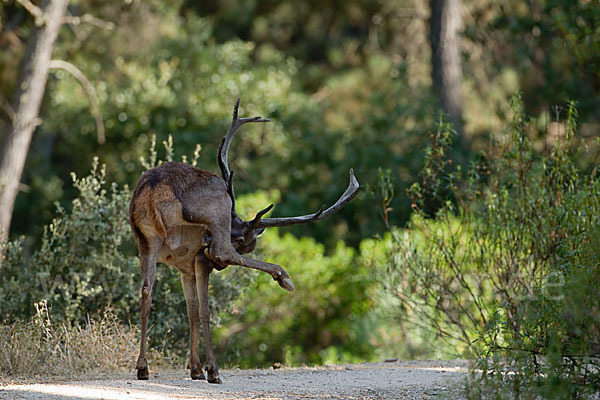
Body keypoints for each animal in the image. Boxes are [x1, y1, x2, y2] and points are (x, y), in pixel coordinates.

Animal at [128, 98, 358, 382]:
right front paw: (208, 369)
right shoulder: (201, 258)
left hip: (145, 240)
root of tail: (155, 188)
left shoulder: (185, 266)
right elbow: (204, 310)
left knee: (146, 291)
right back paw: (282, 277)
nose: (218, 266)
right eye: (244, 242)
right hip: (215, 214)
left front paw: (195, 369)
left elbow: (191, 311)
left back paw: (142, 367)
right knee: (223, 253)